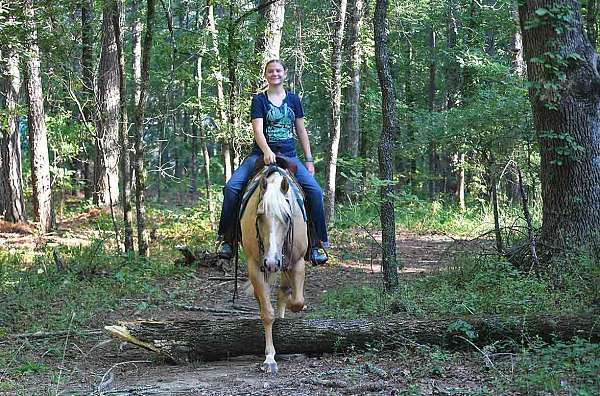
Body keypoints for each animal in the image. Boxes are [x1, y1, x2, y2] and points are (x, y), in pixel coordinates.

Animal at [239, 162, 308, 374]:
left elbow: (297, 301)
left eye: (287, 217)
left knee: (284, 292)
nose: (271, 262)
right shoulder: (255, 265)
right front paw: (269, 358)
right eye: (260, 216)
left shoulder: (297, 262)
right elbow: (267, 313)